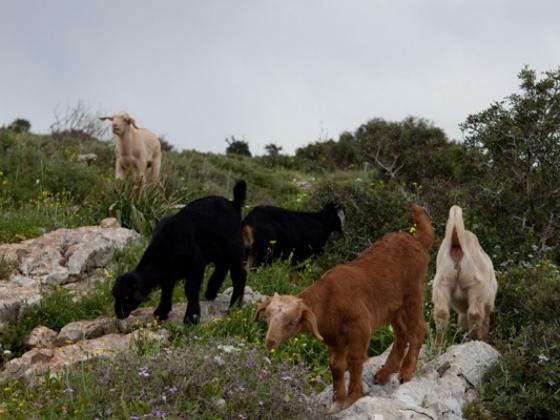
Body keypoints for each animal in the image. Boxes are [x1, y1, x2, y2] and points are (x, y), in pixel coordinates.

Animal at [111, 180, 247, 324]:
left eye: (126, 297)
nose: (119, 314)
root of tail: (233, 203)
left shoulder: (196, 263)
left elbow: (190, 290)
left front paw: (191, 317)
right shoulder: (169, 272)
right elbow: (166, 289)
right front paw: (161, 312)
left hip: (234, 247)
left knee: (239, 275)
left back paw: (234, 307)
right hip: (218, 250)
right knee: (222, 266)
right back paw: (210, 293)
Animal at [254, 203, 434, 414]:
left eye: (292, 322)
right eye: (268, 317)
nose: (270, 342)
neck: (328, 301)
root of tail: (418, 242)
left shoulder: (360, 328)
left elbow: (355, 361)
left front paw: (353, 397)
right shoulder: (335, 340)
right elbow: (336, 366)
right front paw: (337, 401)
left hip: (413, 295)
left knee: (418, 329)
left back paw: (406, 372)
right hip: (394, 308)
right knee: (401, 334)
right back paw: (383, 374)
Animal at [430, 204, 496, 344]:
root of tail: (457, 244)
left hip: (442, 282)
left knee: (441, 312)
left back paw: (439, 343)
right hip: (476, 284)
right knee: (475, 313)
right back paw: (477, 339)